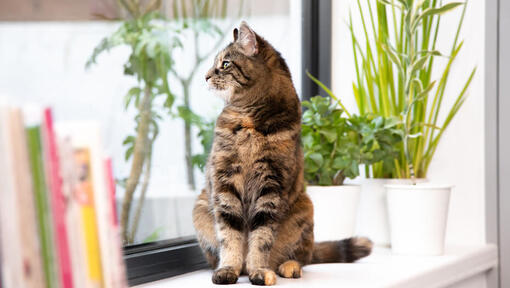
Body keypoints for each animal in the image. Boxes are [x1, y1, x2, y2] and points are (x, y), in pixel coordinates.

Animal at [193, 20, 372, 286]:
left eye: (225, 64)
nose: (205, 76)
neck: (249, 122)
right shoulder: (225, 183)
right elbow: (230, 235)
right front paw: (228, 269)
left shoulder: (271, 186)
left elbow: (261, 238)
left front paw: (259, 270)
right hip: (200, 208)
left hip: (305, 209)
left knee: (301, 258)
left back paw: (288, 267)